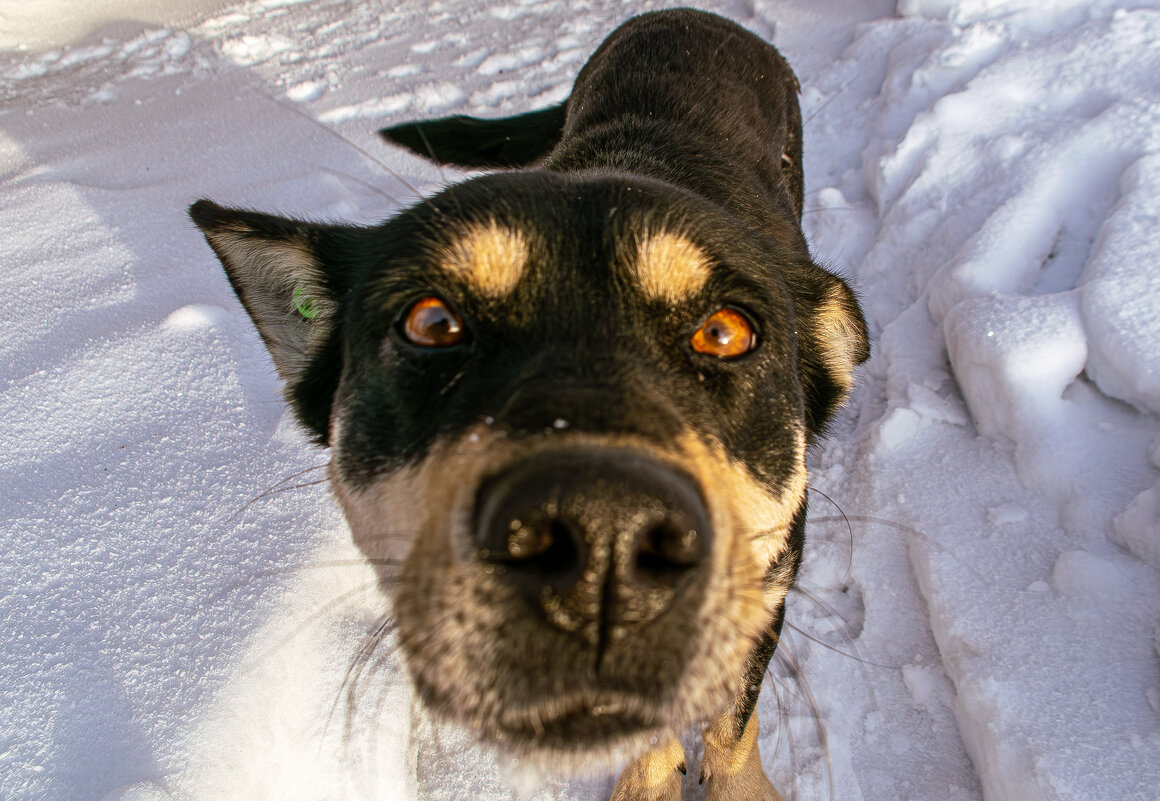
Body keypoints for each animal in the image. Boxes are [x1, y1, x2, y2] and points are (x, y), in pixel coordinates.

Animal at [190, 7, 867, 801]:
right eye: (433, 323)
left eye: (725, 333)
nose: (603, 536)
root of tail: (686, 13)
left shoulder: (769, 584)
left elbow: (733, 721)